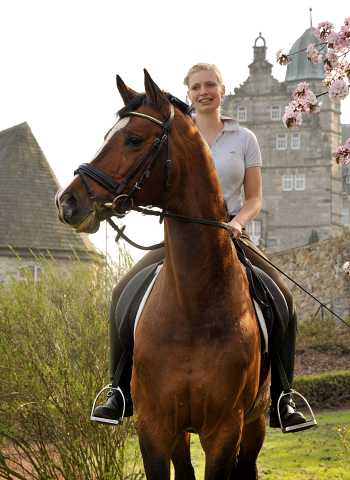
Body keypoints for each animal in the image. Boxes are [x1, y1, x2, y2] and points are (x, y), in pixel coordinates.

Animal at [56, 69, 270, 478]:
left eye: (134, 139)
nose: (66, 202)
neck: (194, 306)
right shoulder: (154, 427)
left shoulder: (225, 429)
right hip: (181, 432)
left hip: (255, 422)